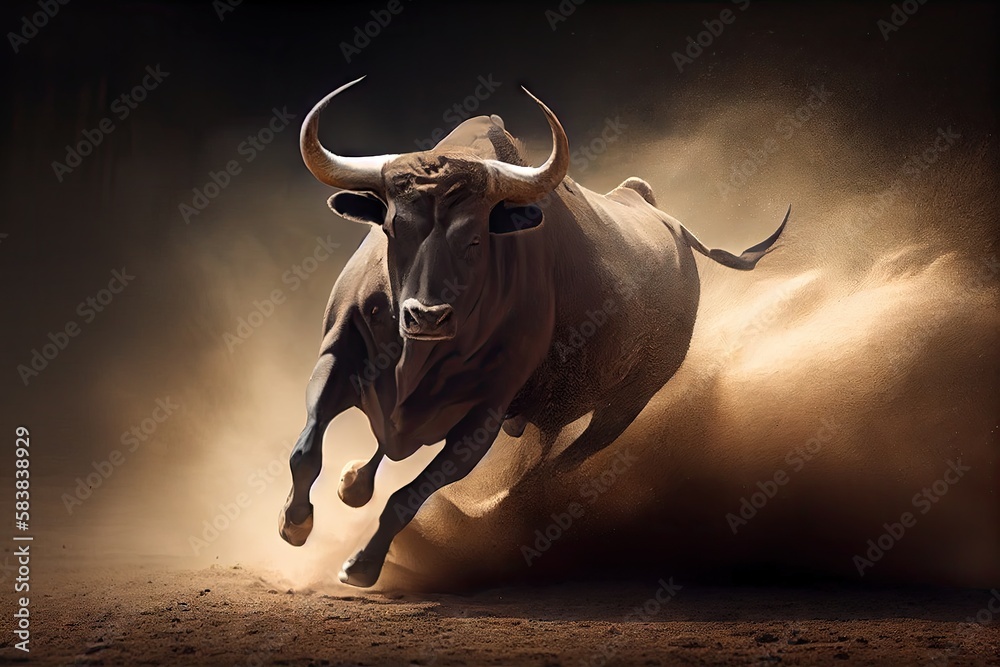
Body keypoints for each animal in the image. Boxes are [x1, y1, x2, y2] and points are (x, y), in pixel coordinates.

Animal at [279, 77, 789, 587]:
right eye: (391, 228)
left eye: (476, 238)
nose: (427, 316)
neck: (416, 362)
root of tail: (669, 223)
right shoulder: (336, 358)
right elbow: (306, 450)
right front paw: (297, 522)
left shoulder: (483, 419)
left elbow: (410, 495)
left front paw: (362, 564)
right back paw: (354, 483)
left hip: (624, 406)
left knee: (546, 474)